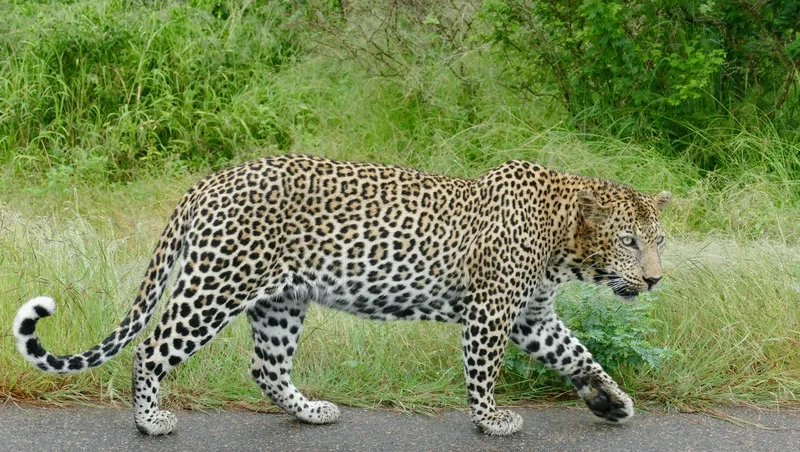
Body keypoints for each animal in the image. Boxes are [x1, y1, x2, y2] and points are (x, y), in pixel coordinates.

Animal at [14, 154, 670, 436]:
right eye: (630, 242)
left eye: (659, 240)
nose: (656, 279)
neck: (567, 244)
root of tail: (212, 180)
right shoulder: (490, 311)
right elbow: (483, 370)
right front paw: (491, 420)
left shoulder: (532, 315)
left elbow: (580, 354)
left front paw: (610, 402)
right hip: (216, 285)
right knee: (152, 349)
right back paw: (151, 422)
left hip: (280, 300)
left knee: (266, 367)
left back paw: (311, 412)